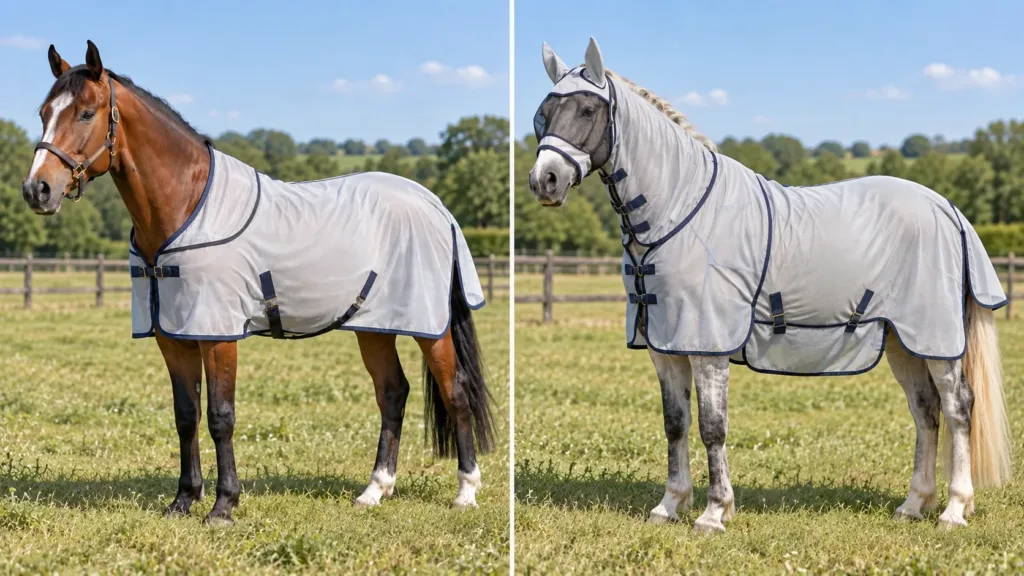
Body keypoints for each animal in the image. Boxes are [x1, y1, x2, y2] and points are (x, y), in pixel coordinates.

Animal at [21, 41, 496, 525]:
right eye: (44, 113)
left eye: (86, 113)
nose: (37, 190)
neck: (186, 204)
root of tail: (434, 205)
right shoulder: (172, 335)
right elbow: (186, 415)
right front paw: (184, 499)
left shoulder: (217, 336)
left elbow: (220, 416)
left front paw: (223, 505)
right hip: (373, 325)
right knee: (393, 393)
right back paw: (375, 490)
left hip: (429, 327)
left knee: (455, 392)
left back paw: (466, 492)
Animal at [527, 37, 1012, 533]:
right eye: (543, 113)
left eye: (588, 109)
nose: (544, 181)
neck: (679, 211)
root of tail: (947, 210)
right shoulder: (665, 346)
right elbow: (675, 423)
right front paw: (669, 505)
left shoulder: (707, 346)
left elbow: (712, 427)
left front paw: (714, 513)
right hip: (903, 342)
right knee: (925, 411)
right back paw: (914, 504)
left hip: (937, 341)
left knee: (957, 409)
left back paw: (953, 509)